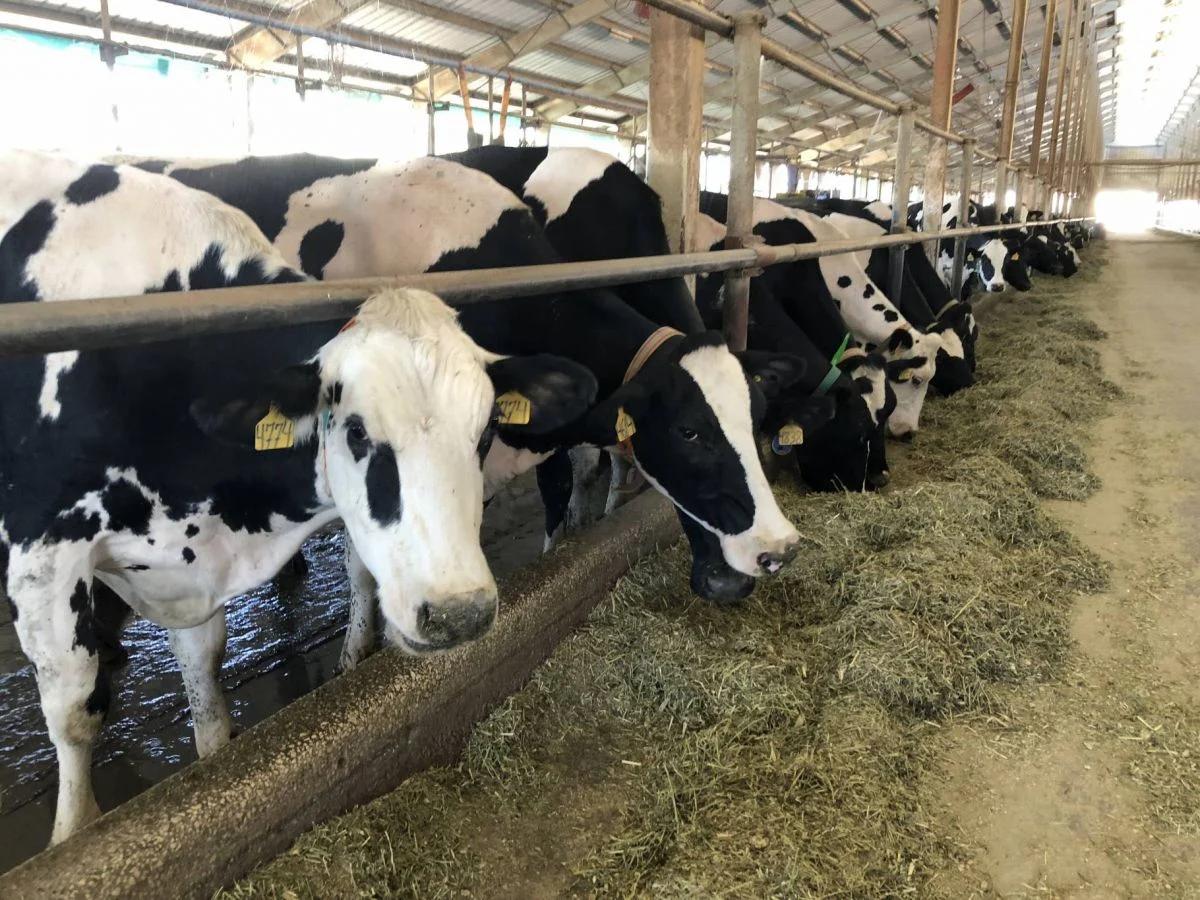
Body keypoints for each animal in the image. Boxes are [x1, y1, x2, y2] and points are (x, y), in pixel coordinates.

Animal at [0, 152, 597, 844]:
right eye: (357, 432)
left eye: (484, 433)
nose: (460, 615)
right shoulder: (42, 548)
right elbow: (73, 711)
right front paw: (72, 833)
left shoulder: (184, 564)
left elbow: (206, 683)